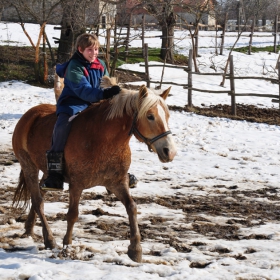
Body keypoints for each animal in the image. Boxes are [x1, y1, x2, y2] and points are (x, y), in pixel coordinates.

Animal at [12, 75, 177, 262]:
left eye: (167, 116)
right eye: (150, 116)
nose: (170, 152)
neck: (104, 139)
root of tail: (29, 115)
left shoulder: (117, 182)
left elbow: (132, 208)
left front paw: (135, 249)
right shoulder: (76, 185)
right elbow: (73, 214)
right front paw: (67, 246)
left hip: (46, 172)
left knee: (39, 195)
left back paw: (29, 228)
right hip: (29, 166)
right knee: (38, 201)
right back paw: (49, 239)